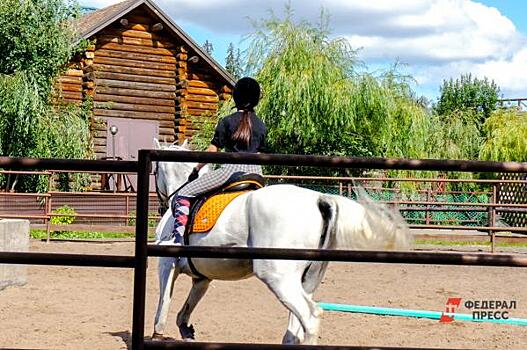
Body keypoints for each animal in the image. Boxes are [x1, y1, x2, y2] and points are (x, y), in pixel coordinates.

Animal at [153, 161, 412, 344]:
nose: (160, 205)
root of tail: (320, 199)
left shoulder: (167, 264)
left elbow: (162, 305)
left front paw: (157, 334)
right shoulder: (202, 278)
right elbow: (185, 310)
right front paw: (186, 330)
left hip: (278, 277)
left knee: (310, 318)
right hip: (306, 281)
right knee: (294, 331)